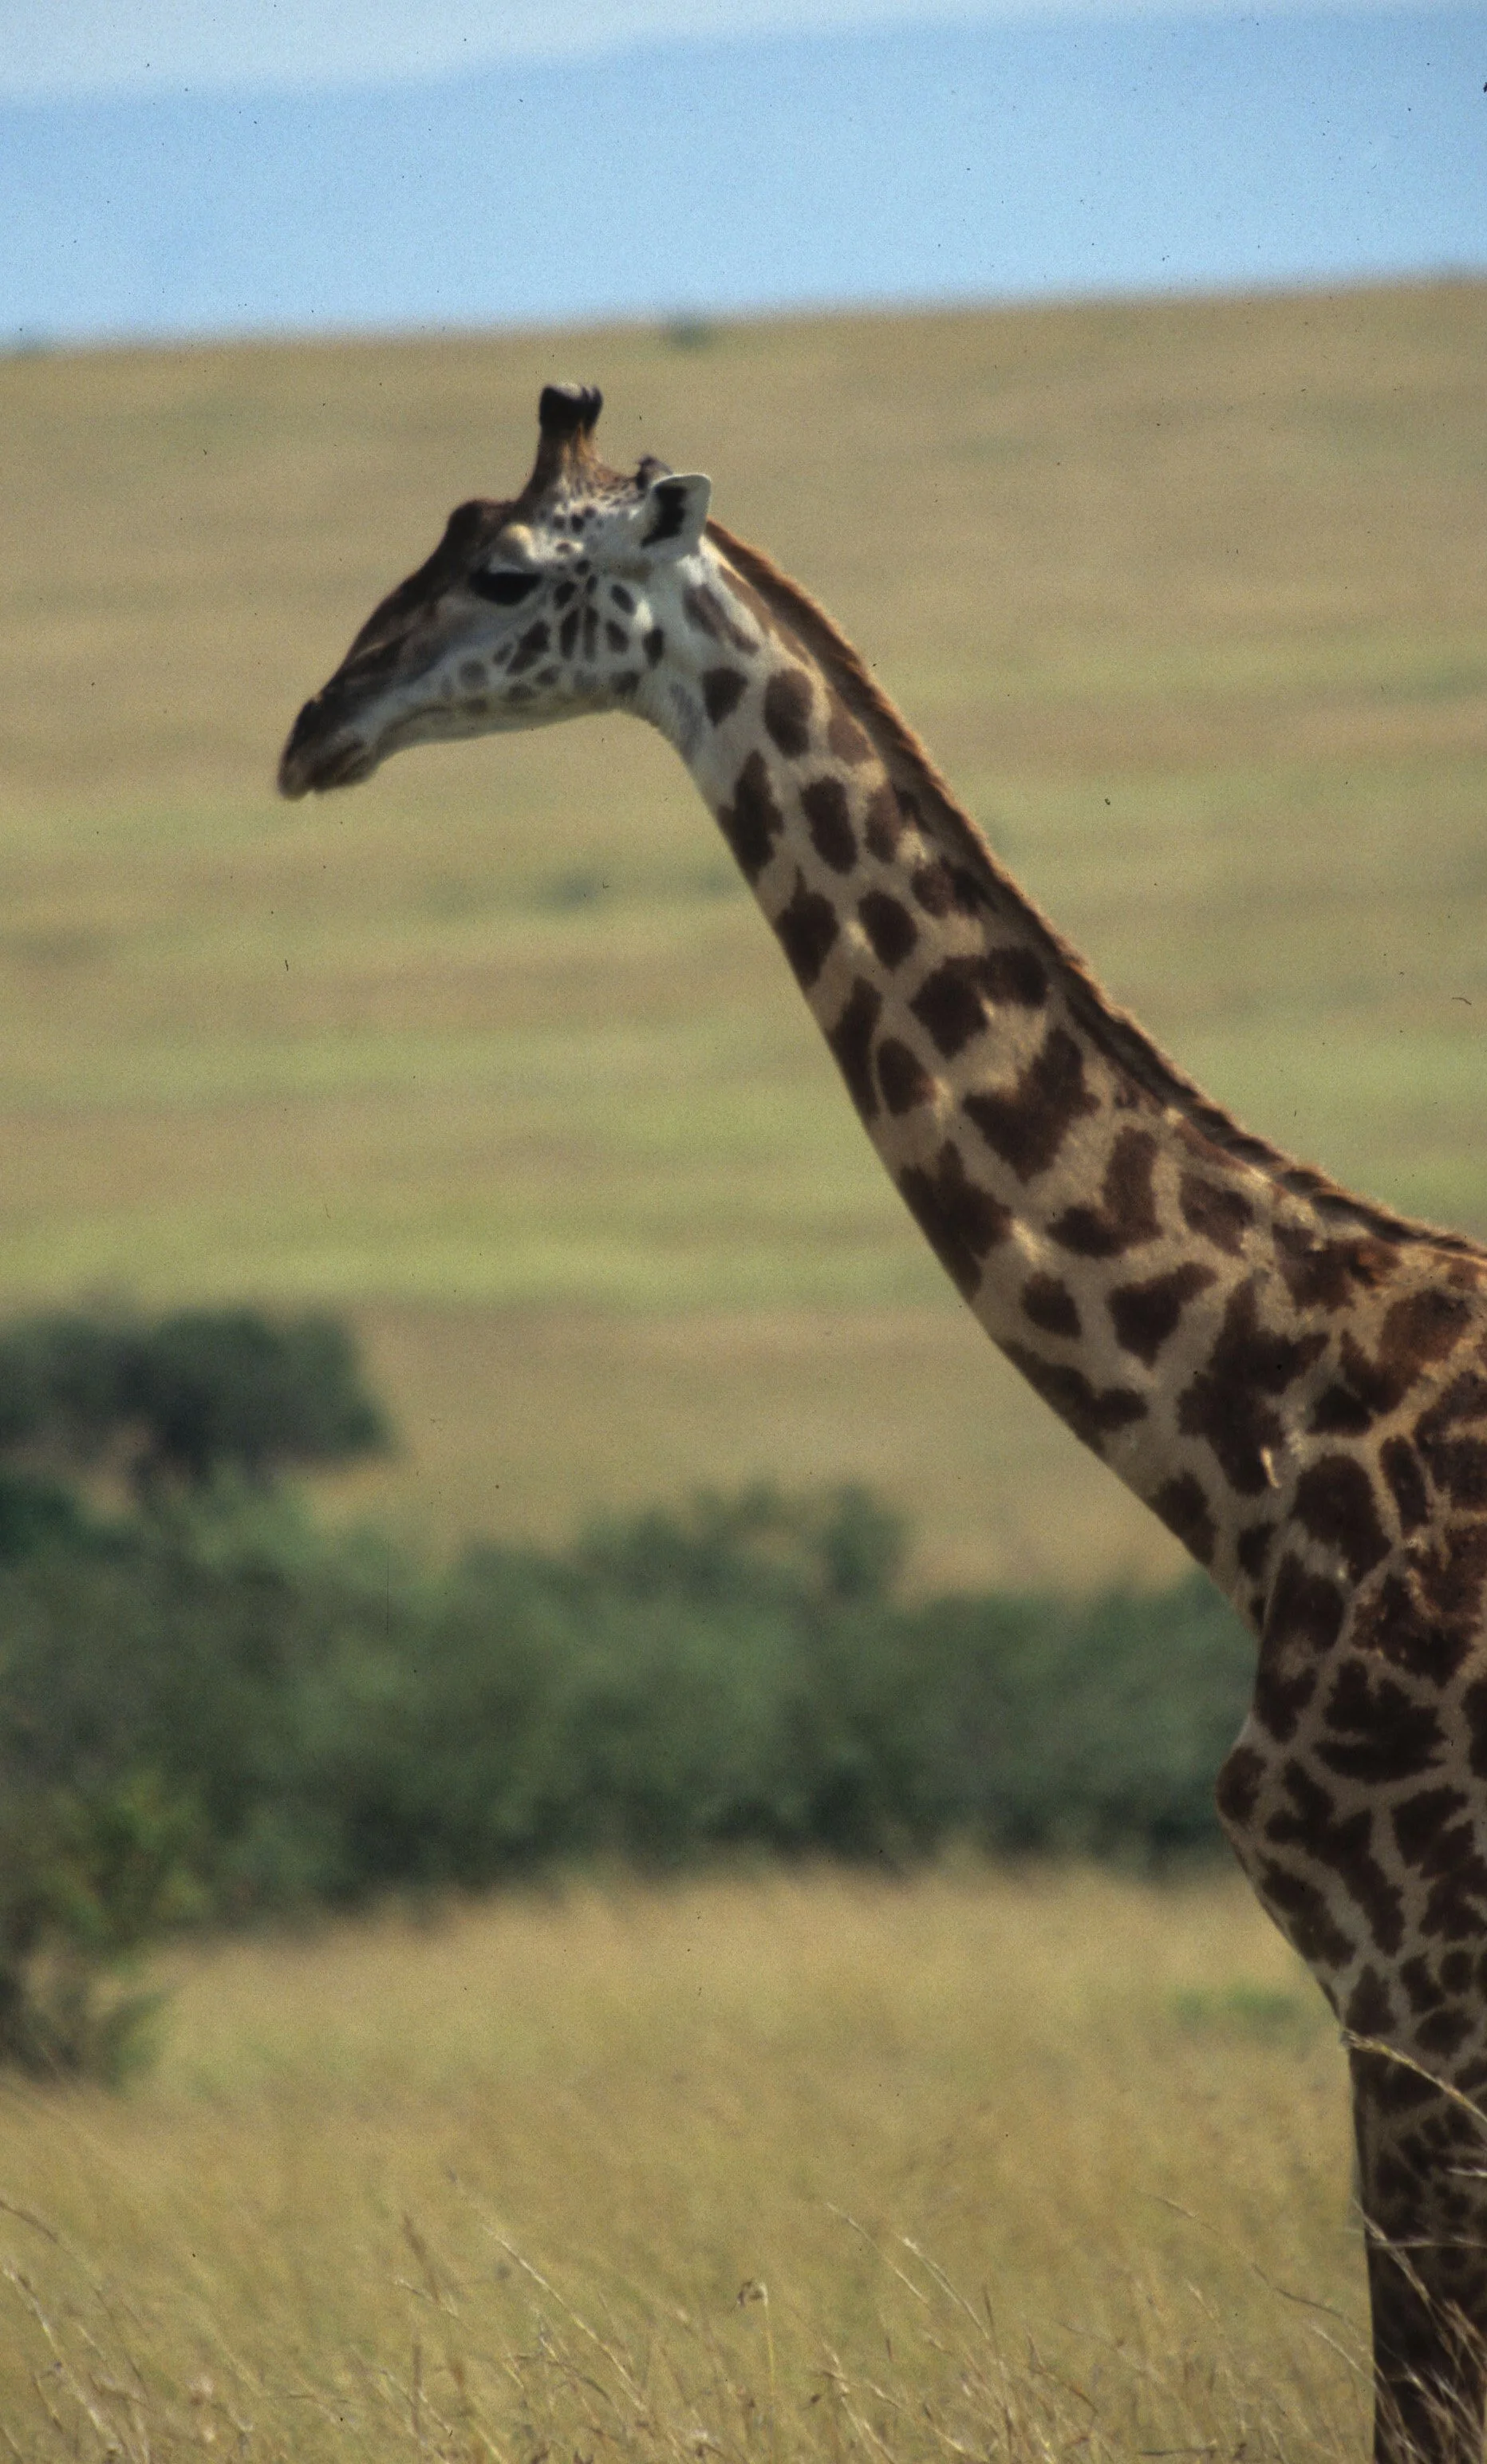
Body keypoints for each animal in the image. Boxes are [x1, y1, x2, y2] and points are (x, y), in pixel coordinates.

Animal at [280, 381, 1487, 2463]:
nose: (309, 729)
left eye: (505, 570)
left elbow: (1422, 2390)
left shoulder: (1409, 1954)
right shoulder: (1397, 1981)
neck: (1255, 1418)